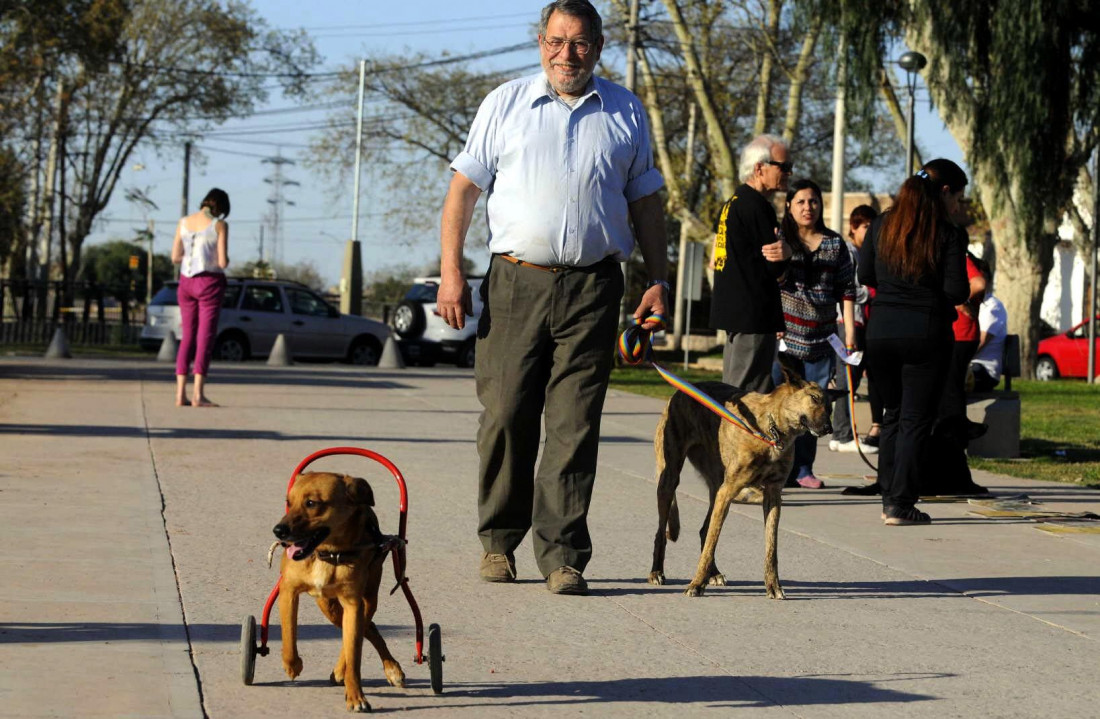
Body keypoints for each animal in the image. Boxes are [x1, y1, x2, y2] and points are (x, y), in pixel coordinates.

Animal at [272, 472, 407, 716]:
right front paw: (292, 665)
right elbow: (289, 633)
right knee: (368, 628)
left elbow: (354, 655)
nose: (278, 531)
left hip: (368, 599)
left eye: (311, 503)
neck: (329, 553)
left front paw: (356, 697)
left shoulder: (354, 603)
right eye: (289, 502)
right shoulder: (288, 592)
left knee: (365, 629)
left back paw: (384, 668)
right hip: (328, 605)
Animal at [642, 369, 831, 598]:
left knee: (704, 530)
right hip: (670, 478)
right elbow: (712, 542)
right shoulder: (729, 490)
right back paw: (657, 571)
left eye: (829, 406)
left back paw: (714, 573)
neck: (770, 430)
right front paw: (696, 584)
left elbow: (771, 547)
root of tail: (680, 392)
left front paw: (773, 585)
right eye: (814, 399)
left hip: (716, 486)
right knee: (662, 532)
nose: (829, 428)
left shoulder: (772, 494)